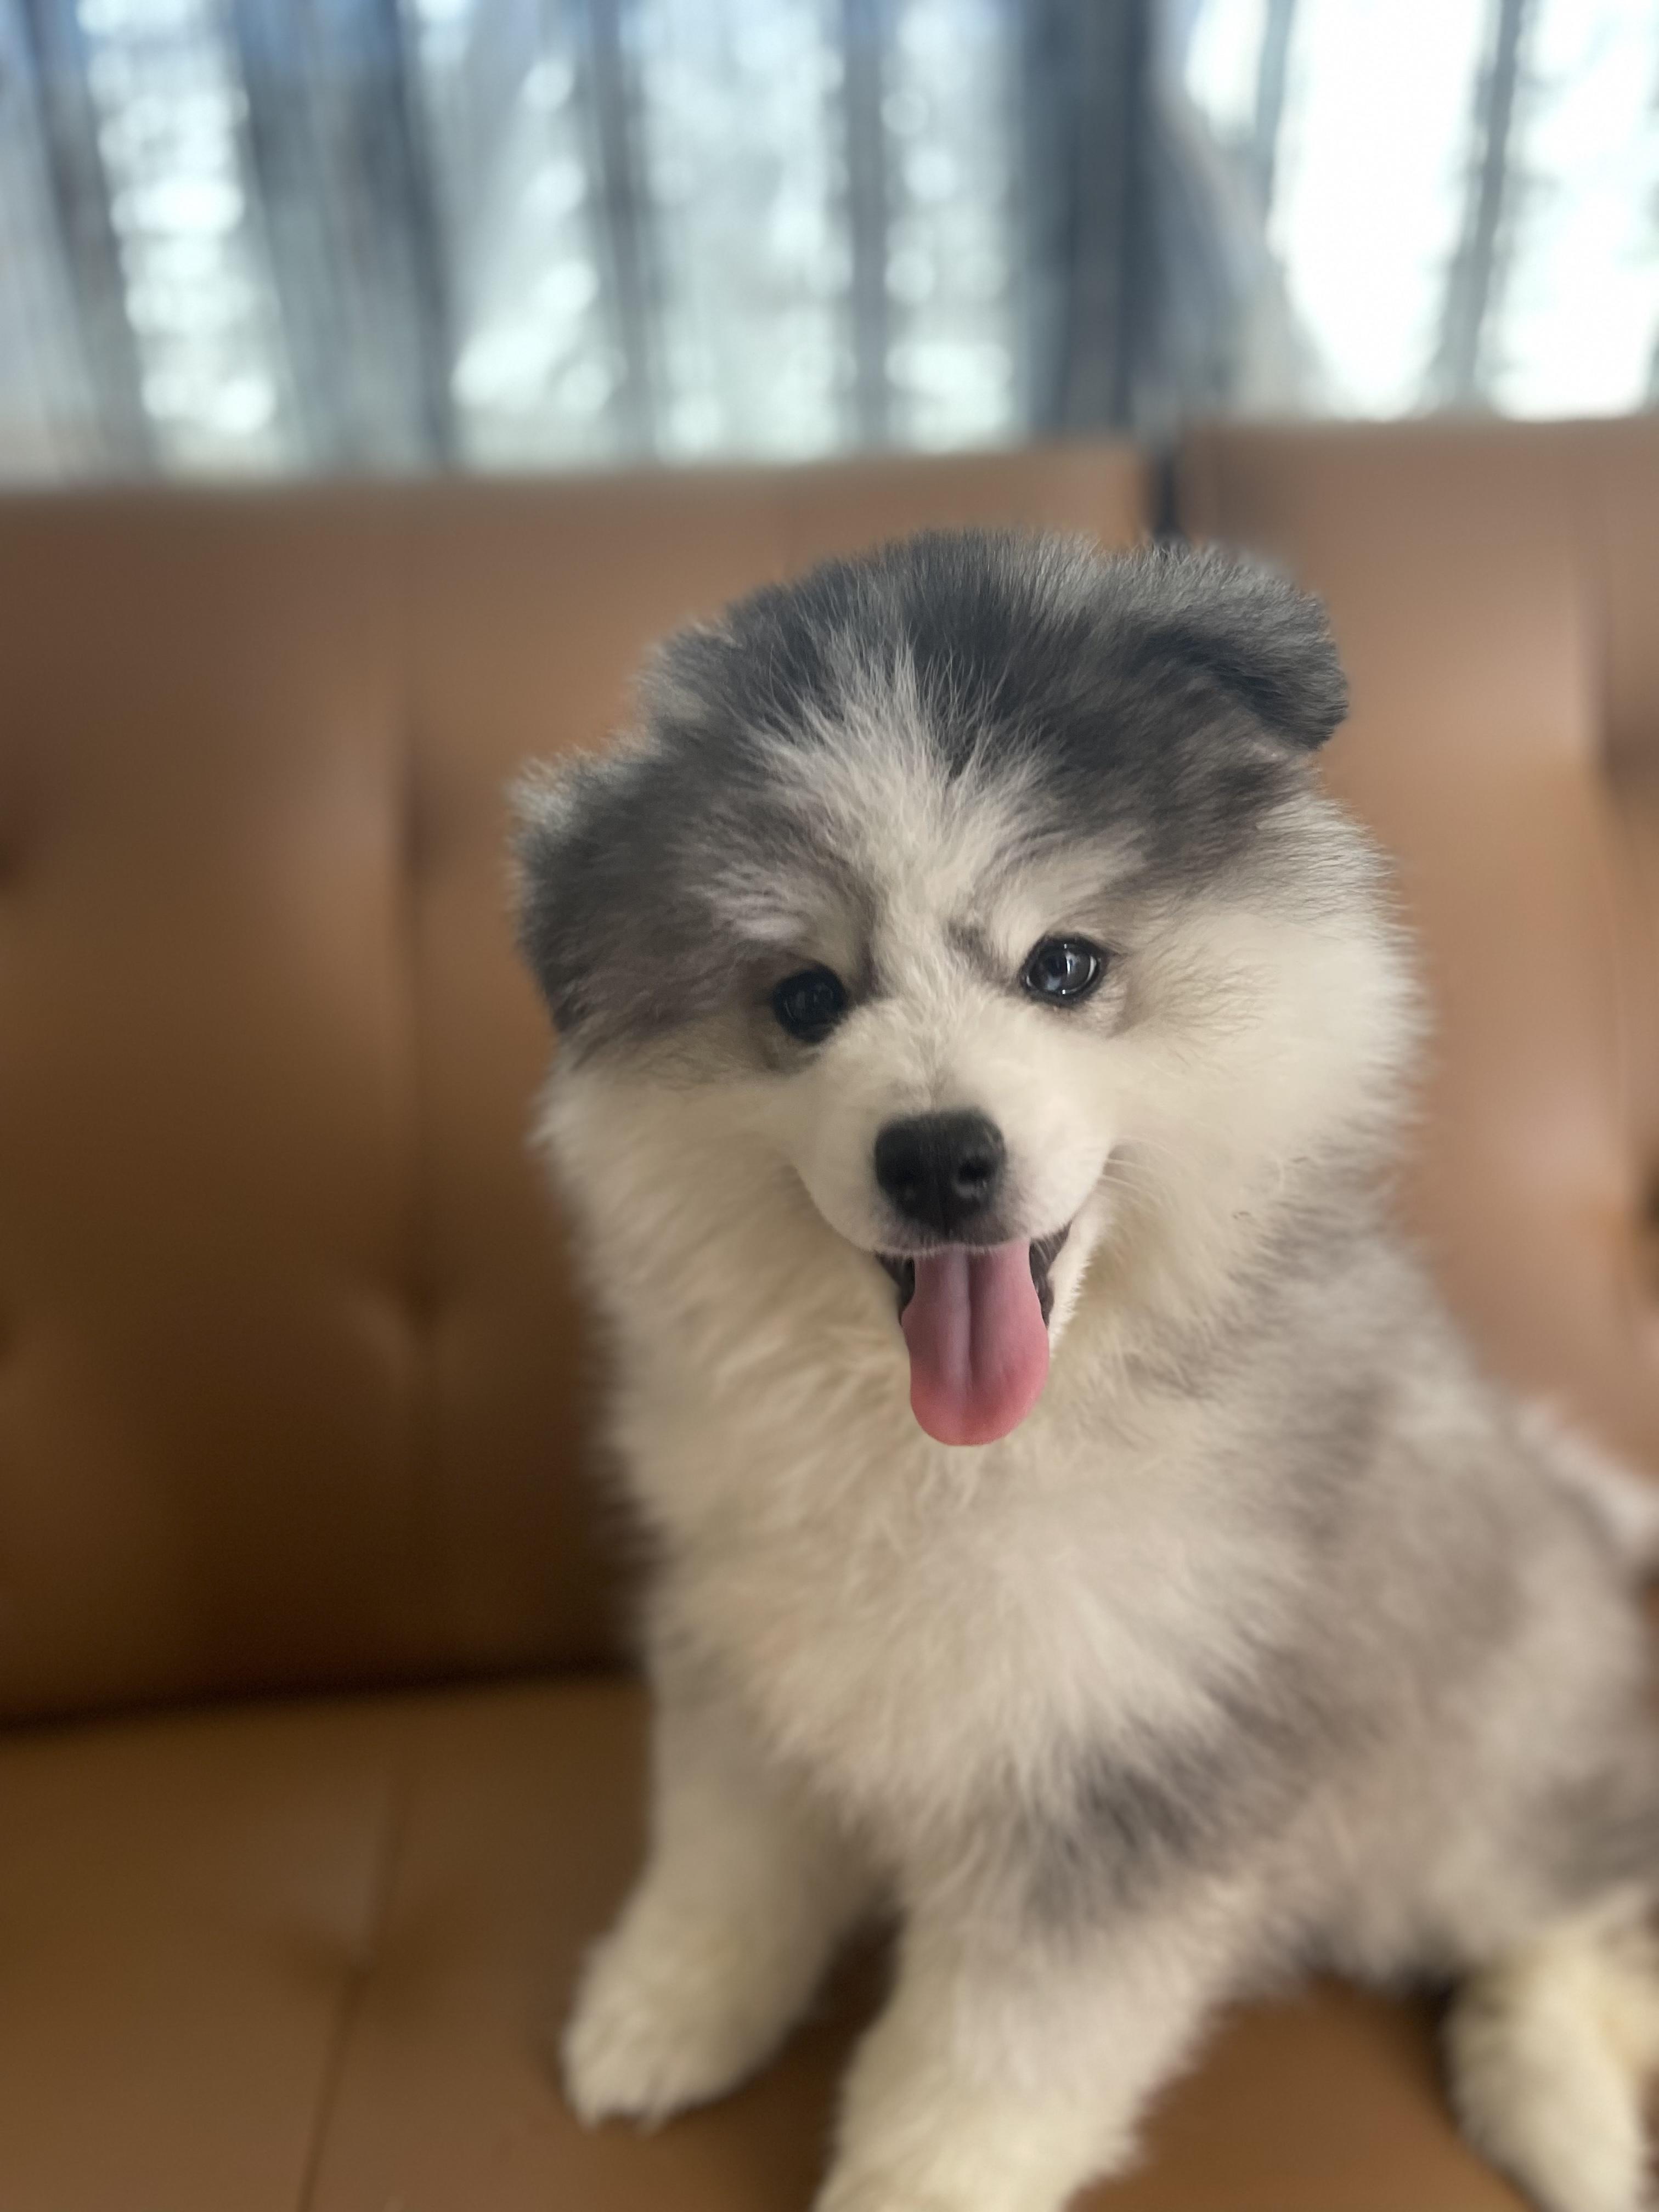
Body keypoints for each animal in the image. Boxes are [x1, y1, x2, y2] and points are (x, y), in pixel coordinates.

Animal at [515, 530, 1659, 2212]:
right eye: (806, 999)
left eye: (1063, 965)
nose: (938, 1154)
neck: (952, 1461)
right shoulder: (754, 1643)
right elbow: (724, 1860)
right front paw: (665, 2013)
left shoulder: (1128, 1765)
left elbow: (994, 2052)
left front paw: (911, 2187)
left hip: (1477, 1779)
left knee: (1578, 1917)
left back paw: (1561, 2113)